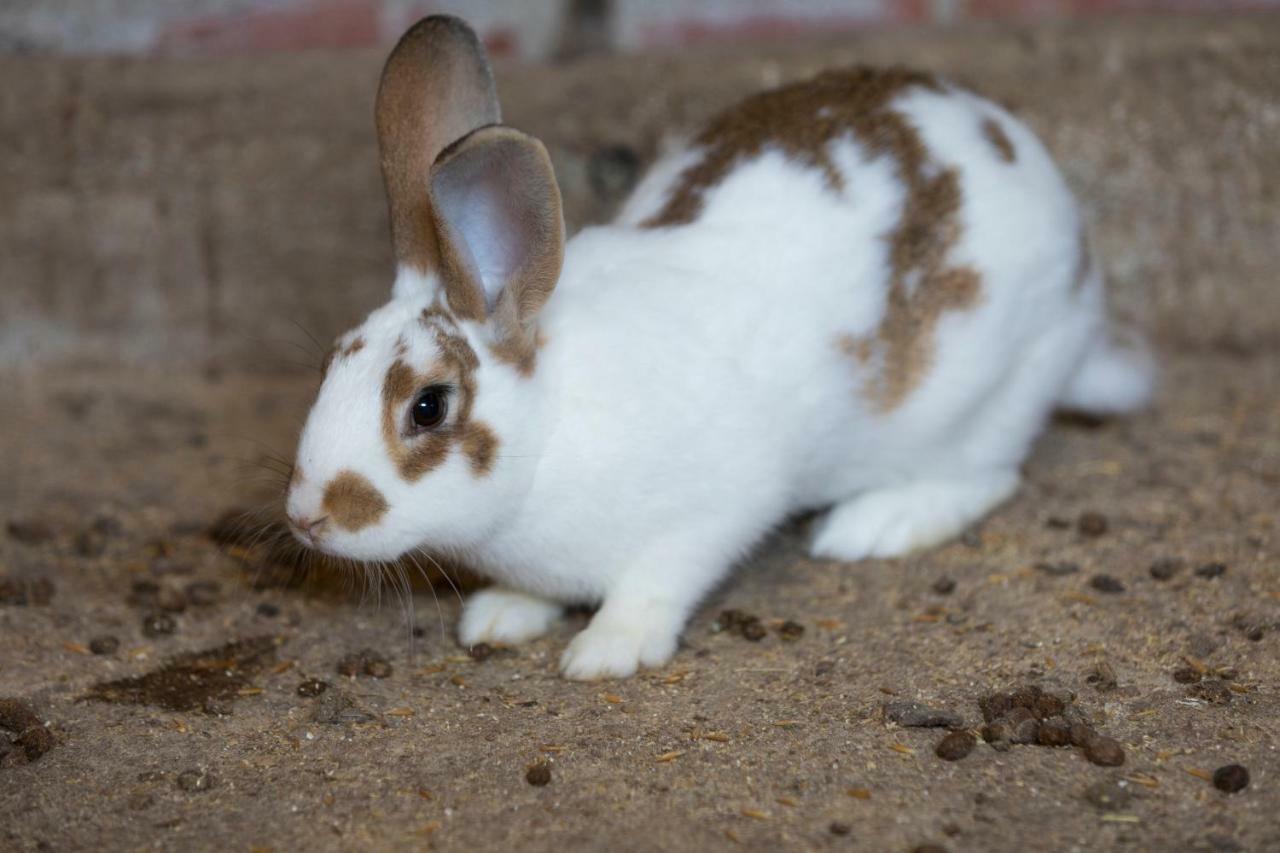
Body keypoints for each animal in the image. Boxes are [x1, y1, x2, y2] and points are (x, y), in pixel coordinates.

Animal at [285, 14, 1157, 676]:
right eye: (329, 363)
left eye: (429, 407)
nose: (307, 518)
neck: (552, 426)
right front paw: (500, 615)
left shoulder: (709, 515)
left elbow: (656, 582)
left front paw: (607, 649)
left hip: (988, 397)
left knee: (989, 476)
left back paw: (872, 525)